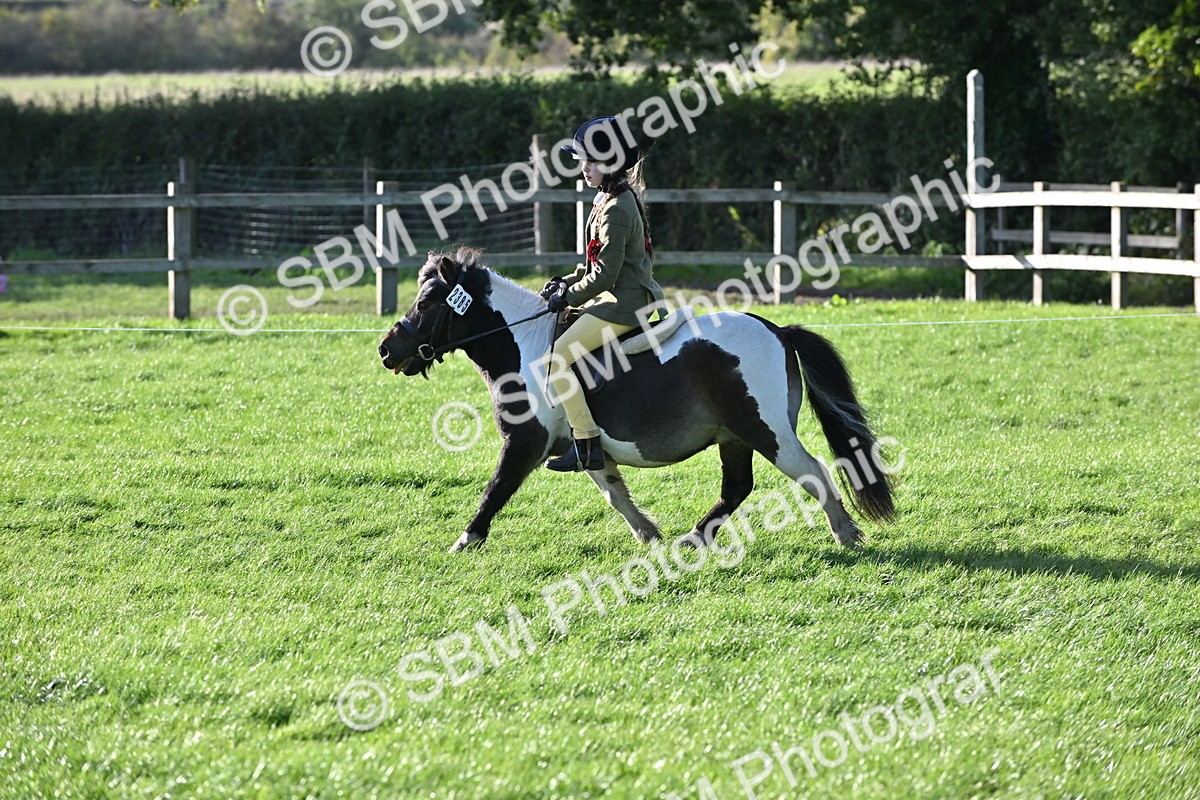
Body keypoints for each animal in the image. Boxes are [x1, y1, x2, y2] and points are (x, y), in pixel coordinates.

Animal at [378, 248, 895, 553]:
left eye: (425, 302)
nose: (386, 350)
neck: (523, 344)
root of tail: (777, 329)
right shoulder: (584, 447)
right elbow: (613, 492)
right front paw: (649, 535)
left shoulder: (524, 442)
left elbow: (496, 489)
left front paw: (465, 540)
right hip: (733, 436)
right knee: (737, 488)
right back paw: (693, 539)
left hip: (766, 432)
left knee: (813, 471)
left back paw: (847, 534)